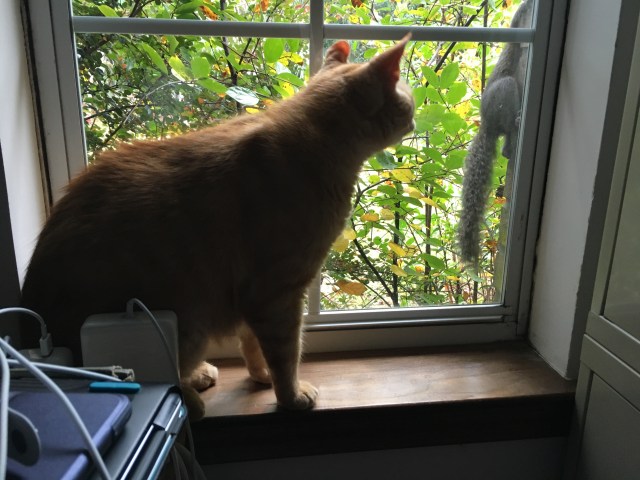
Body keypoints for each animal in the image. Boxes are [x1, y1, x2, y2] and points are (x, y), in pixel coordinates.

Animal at [20, 35, 415, 420]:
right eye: (408, 104)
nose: (414, 122)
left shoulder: (252, 293)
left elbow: (253, 343)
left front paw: (262, 376)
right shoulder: (276, 292)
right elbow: (285, 353)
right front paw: (290, 396)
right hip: (186, 322)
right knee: (155, 378)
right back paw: (192, 400)